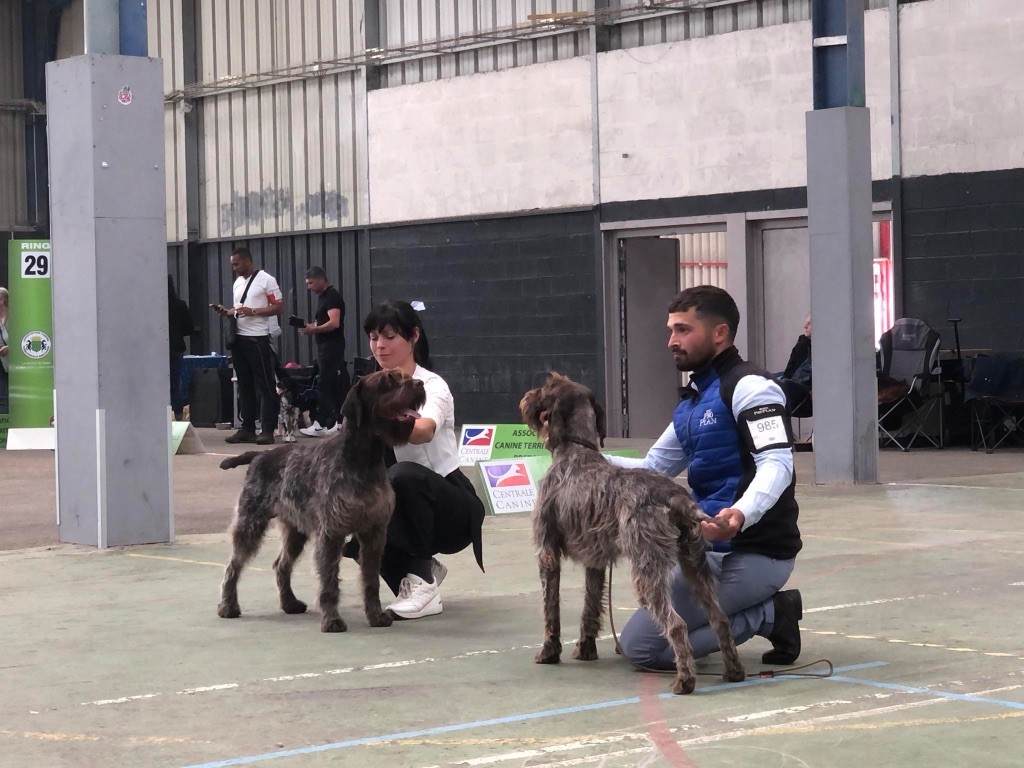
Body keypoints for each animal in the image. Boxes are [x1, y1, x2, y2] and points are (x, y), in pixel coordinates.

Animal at [216, 370, 423, 630]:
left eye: (405, 376)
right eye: (387, 381)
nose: (419, 383)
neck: (364, 459)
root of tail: (259, 455)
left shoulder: (374, 532)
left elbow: (371, 580)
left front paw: (375, 616)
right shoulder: (332, 532)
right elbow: (329, 581)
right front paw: (332, 619)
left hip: (295, 530)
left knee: (281, 565)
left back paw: (289, 603)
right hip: (250, 524)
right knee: (233, 566)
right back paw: (228, 606)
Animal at [520, 374, 745, 696]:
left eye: (546, 387)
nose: (526, 397)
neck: (576, 451)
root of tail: (676, 497)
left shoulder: (547, 553)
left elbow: (551, 609)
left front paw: (549, 652)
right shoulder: (596, 562)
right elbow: (590, 607)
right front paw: (586, 650)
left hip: (646, 570)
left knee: (676, 625)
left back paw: (684, 680)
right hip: (695, 564)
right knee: (720, 618)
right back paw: (733, 671)